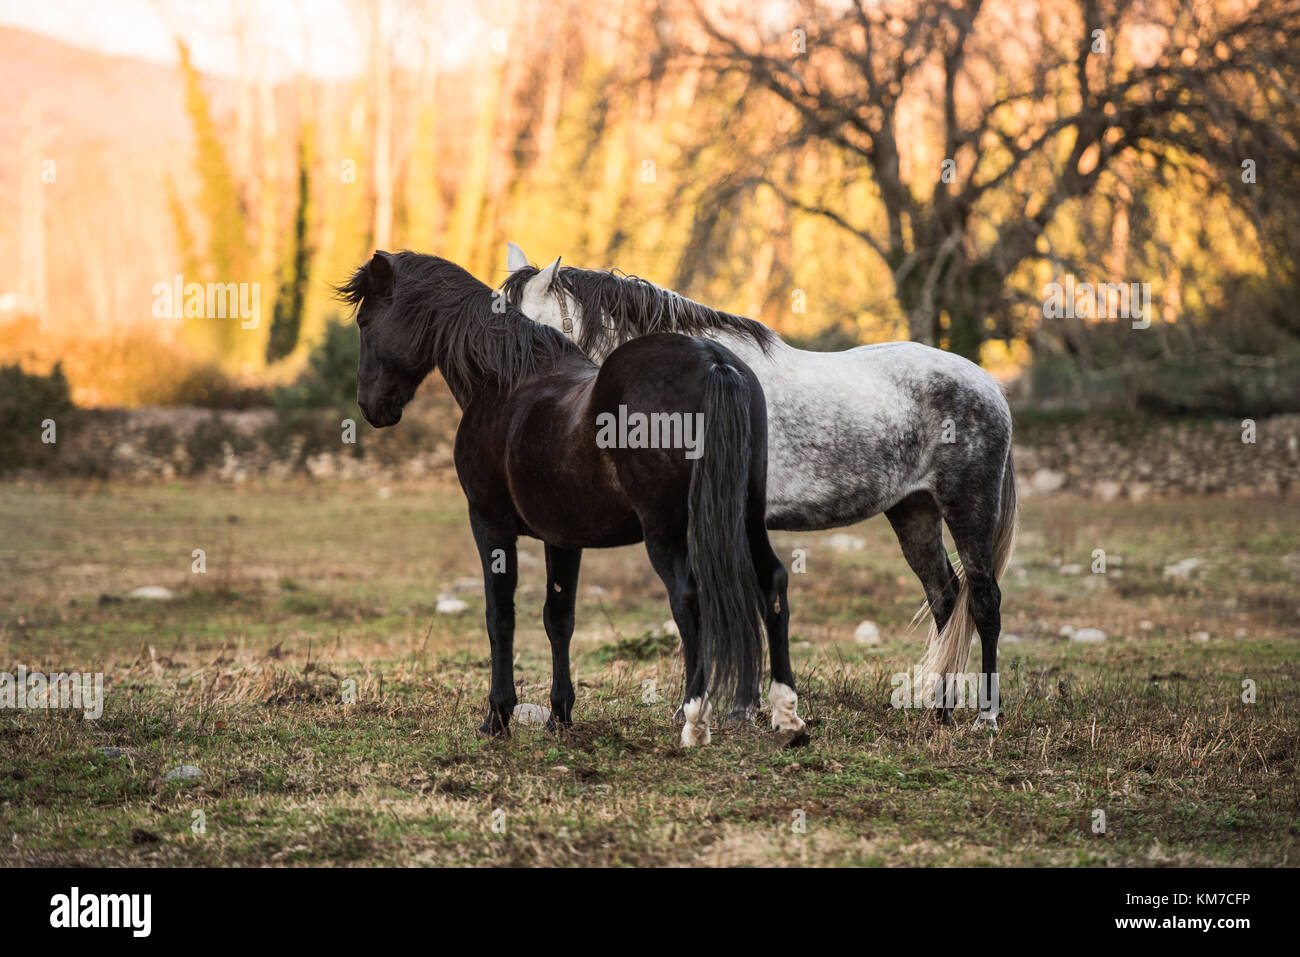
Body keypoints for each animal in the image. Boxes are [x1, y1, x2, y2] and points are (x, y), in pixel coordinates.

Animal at [336, 250, 805, 745]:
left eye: (365, 321)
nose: (369, 406)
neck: (506, 380)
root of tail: (713, 362)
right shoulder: (562, 538)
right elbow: (558, 617)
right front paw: (560, 715)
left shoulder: (489, 523)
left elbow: (499, 615)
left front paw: (497, 716)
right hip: (745, 516)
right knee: (772, 582)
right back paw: (786, 715)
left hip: (667, 530)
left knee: (689, 597)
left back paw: (695, 718)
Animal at [502, 242, 1017, 729]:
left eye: (534, 336)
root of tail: (988, 384)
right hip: (914, 511)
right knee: (945, 599)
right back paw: (941, 712)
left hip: (968, 508)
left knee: (985, 601)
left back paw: (985, 718)